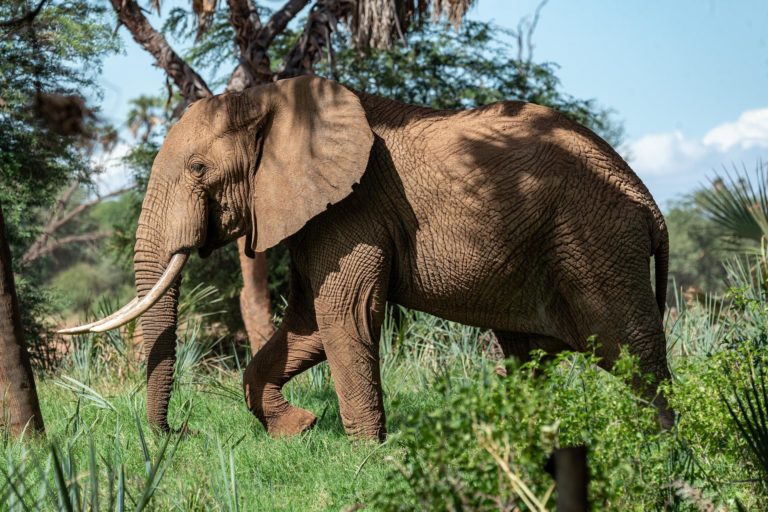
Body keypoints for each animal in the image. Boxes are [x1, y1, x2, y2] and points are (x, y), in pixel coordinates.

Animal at [60, 74, 672, 438]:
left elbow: (344, 313)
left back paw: (662, 453)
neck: (272, 98)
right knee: (531, 356)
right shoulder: (318, 212)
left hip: (596, 240)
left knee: (632, 353)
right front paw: (299, 429)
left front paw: (367, 455)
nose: (177, 434)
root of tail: (648, 200)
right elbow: (308, 323)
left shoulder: (354, 207)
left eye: (197, 169)